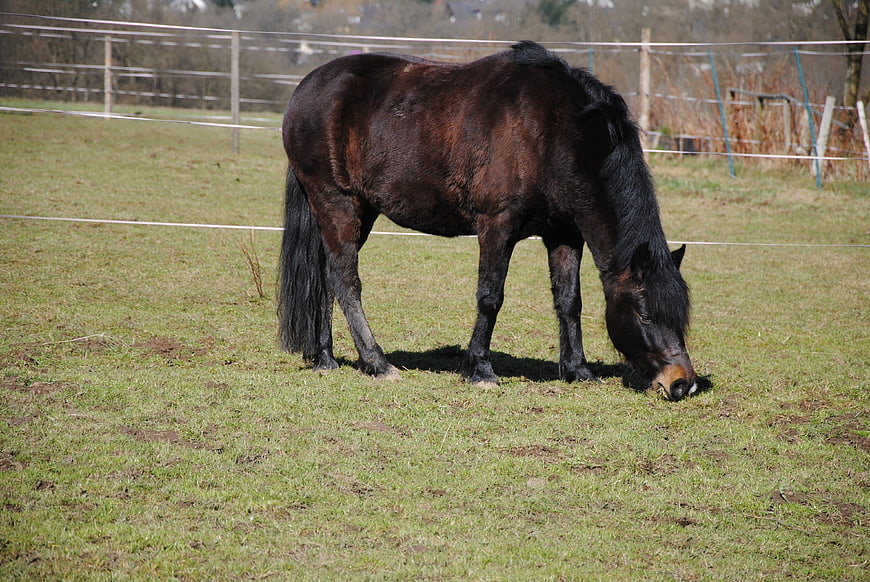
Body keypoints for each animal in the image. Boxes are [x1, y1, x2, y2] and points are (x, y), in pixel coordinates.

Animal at [277, 41, 697, 401]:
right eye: (644, 314)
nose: (681, 383)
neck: (555, 129)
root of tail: (305, 90)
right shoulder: (498, 226)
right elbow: (490, 297)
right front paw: (480, 369)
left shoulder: (564, 233)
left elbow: (569, 301)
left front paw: (578, 370)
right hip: (337, 202)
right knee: (346, 281)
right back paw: (376, 362)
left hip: (359, 210)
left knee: (326, 276)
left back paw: (325, 358)